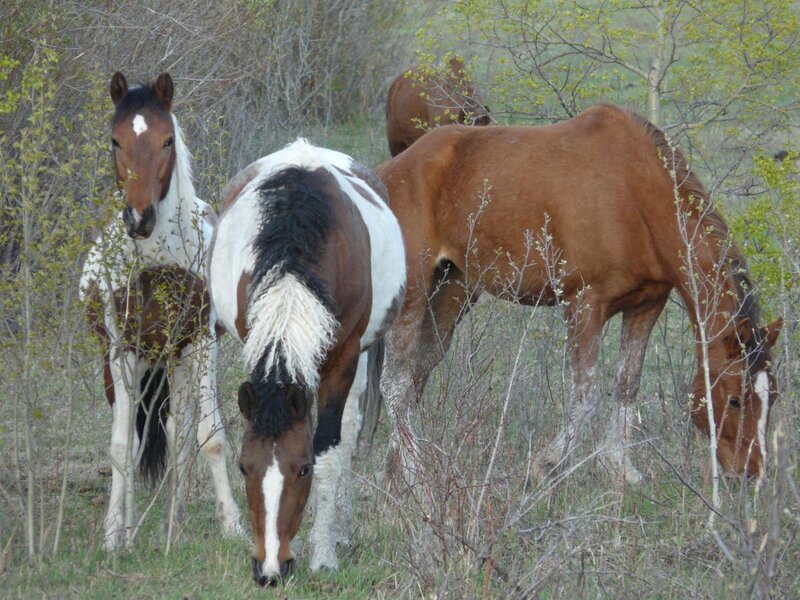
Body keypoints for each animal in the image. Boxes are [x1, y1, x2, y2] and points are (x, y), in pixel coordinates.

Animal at [79, 72, 242, 550]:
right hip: (127, 366)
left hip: (178, 361)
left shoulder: (202, 343)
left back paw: (175, 521)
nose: (139, 219)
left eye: (167, 140)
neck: (158, 261)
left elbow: (209, 437)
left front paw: (233, 526)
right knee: (138, 435)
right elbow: (121, 446)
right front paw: (114, 535)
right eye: (114, 141)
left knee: (178, 433)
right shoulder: (121, 351)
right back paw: (134, 527)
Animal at [209, 139, 405, 585]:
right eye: (244, 467)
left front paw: (323, 553)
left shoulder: (344, 357)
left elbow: (330, 450)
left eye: (302, 470)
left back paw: (339, 528)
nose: (268, 570)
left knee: (348, 432)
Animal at [376, 104, 782, 488]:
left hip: (453, 289)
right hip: (415, 291)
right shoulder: (585, 304)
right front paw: (546, 465)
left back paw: (395, 469)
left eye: (774, 397)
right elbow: (586, 394)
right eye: (735, 399)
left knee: (416, 374)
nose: (751, 474)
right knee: (395, 384)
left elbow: (626, 385)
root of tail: (388, 172)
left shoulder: (646, 305)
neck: (634, 195)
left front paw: (620, 468)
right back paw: (414, 475)